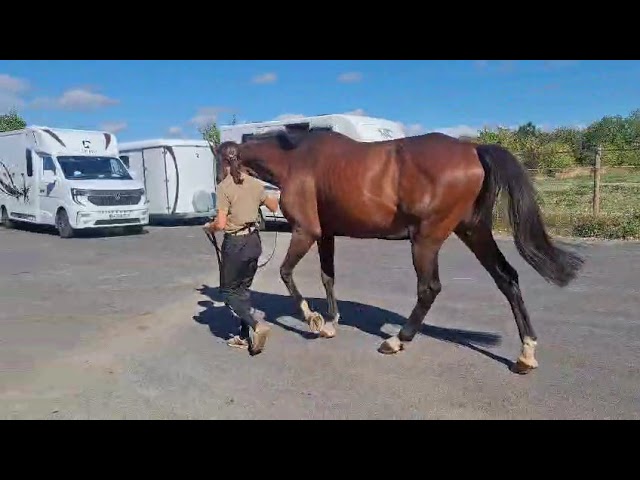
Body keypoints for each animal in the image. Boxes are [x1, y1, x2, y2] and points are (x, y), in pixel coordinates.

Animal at [214, 129, 584, 374]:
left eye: (220, 160)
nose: (217, 194)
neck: (297, 161)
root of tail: (473, 149)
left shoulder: (306, 232)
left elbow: (286, 272)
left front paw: (313, 320)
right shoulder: (326, 235)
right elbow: (327, 277)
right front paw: (331, 323)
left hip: (426, 239)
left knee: (429, 288)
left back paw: (396, 340)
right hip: (473, 232)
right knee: (507, 278)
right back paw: (526, 353)